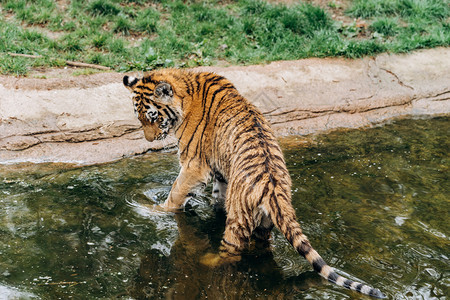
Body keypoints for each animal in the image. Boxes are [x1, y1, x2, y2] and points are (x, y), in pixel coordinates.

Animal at [123, 68, 386, 298]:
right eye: (139, 119)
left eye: (153, 117)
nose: (150, 140)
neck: (187, 90)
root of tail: (275, 189)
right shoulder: (221, 174)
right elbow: (217, 196)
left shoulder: (194, 166)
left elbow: (176, 193)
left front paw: (154, 211)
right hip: (265, 225)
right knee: (262, 248)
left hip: (237, 223)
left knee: (231, 253)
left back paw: (208, 261)